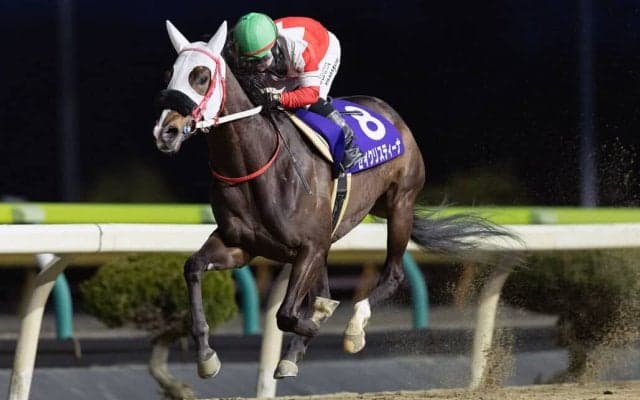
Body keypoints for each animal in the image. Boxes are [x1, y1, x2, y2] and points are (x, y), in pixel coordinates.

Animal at [152, 20, 517, 379]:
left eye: (201, 76)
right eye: (169, 73)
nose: (165, 132)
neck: (258, 165)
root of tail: (389, 112)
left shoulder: (309, 247)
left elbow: (287, 314)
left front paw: (318, 329)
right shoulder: (242, 245)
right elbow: (193, 268)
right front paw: (206, 355)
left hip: (400, 204)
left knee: (393, 274)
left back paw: (353, 329)